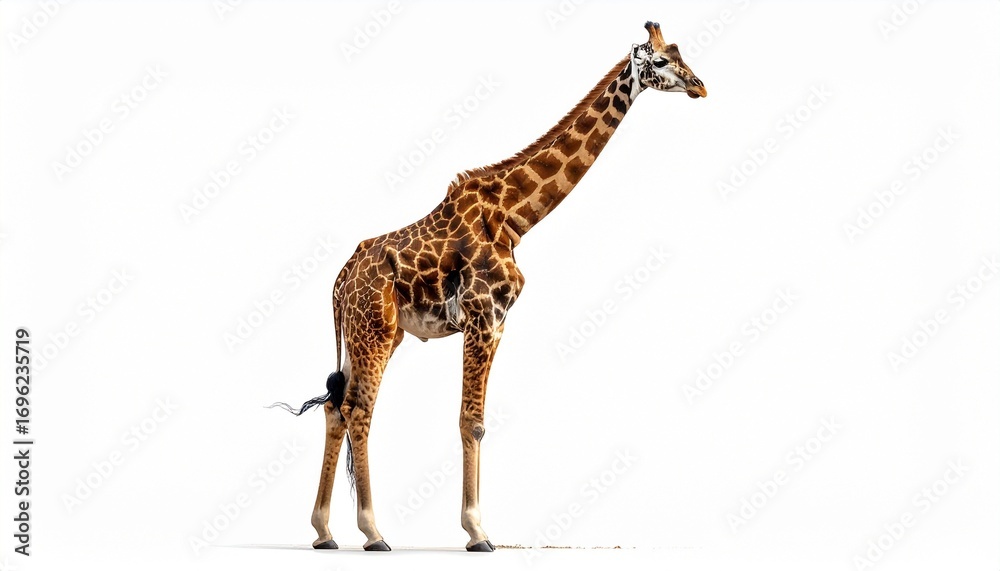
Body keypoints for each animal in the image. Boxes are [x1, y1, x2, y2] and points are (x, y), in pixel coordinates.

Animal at [273, 21, 706, 552]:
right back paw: (373, 532)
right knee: (359, 410)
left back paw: (323, 531)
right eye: (661, 61)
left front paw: (475, 526)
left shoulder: (495, 323)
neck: (516, 217)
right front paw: (478, 531)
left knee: (336, 408)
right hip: (373, 329)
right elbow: (472, 421)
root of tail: (339, 280)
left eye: (681, 54)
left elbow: (474, 419)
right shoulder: (484, 317)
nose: (700, 87)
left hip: (373, 334)